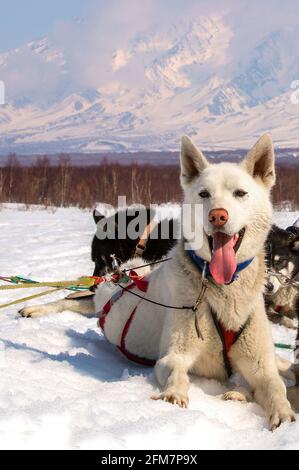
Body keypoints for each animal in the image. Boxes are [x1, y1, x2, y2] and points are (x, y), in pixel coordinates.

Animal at [20, 133, 296, 430]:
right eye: (204, 194)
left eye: (240, 193)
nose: (218, 215)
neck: (223, 293)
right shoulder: (174, 356)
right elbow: (177, 373)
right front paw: (174, 395)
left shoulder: (260, 366)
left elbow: (276, 387)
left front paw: (283, 414)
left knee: (282, 369)